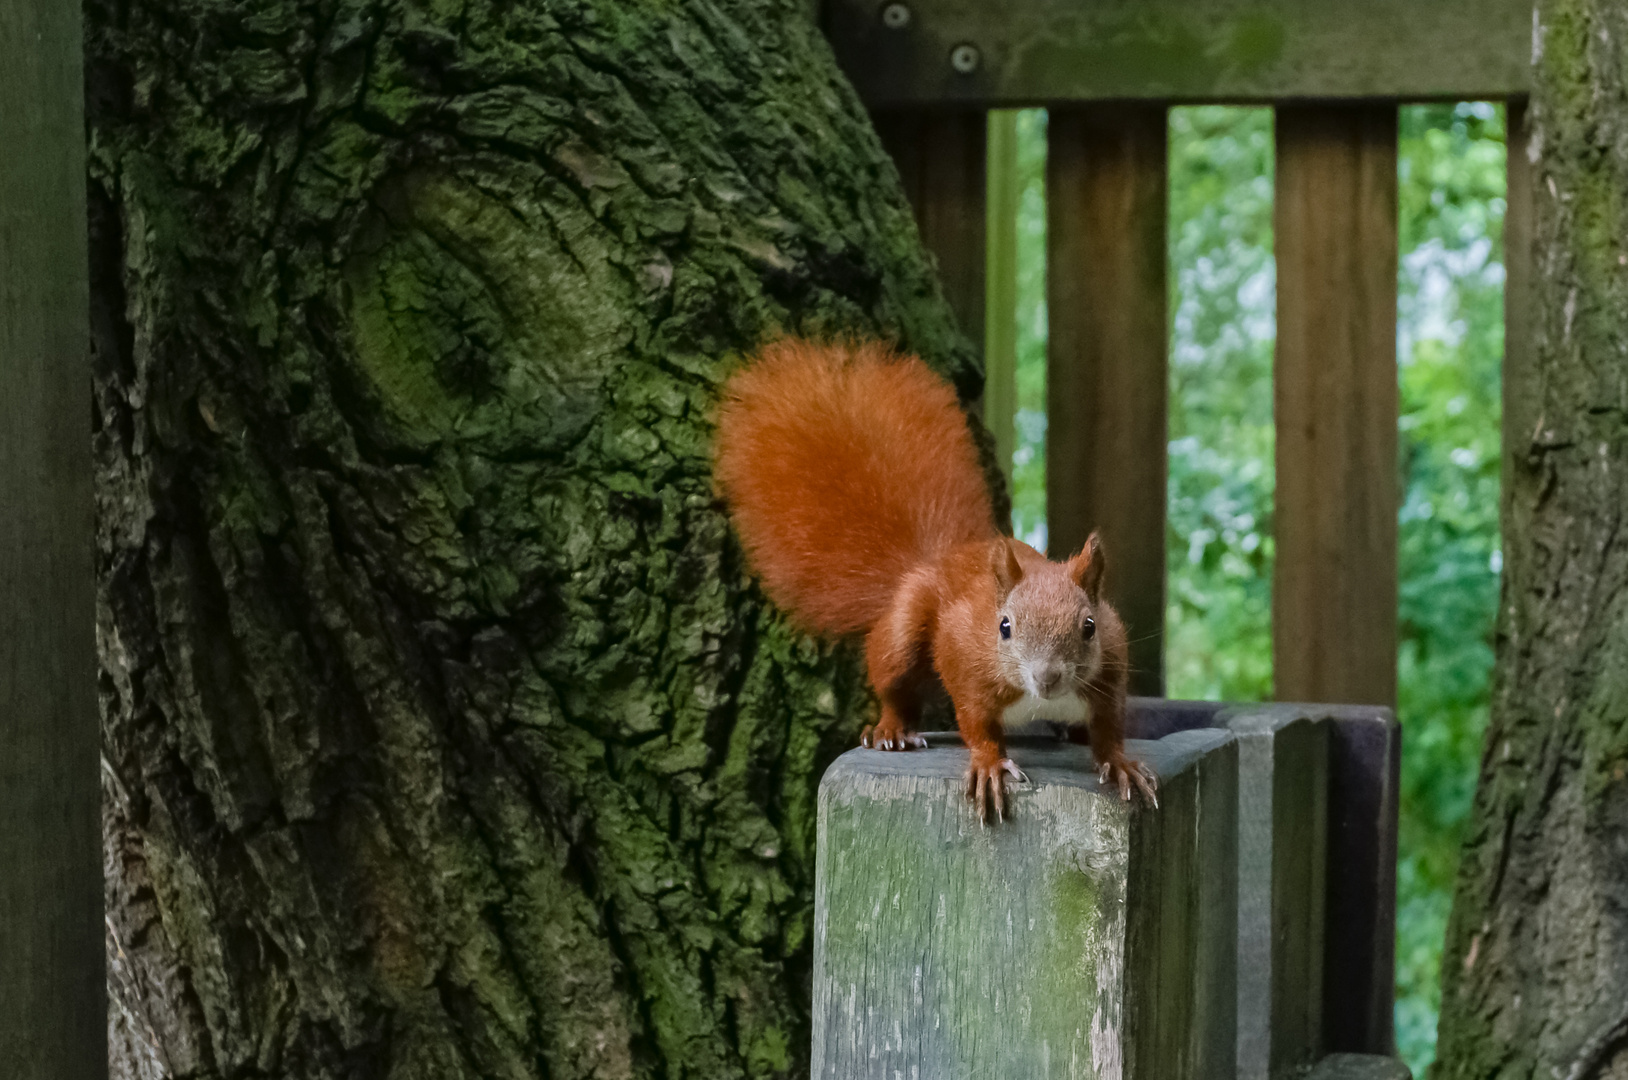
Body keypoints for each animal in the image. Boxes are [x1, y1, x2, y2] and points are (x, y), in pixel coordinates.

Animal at [713, 338, 1159, 820]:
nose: (1047, 678)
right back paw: (892, 730)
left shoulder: (1110, 672)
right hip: (904, 630)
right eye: (1004, 627)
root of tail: (935, 560)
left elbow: (1110, 727)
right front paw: (989, 765)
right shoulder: (965, 659)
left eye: (1089, 627)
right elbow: (975, 722)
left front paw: (1120, 764)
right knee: (895, 686)